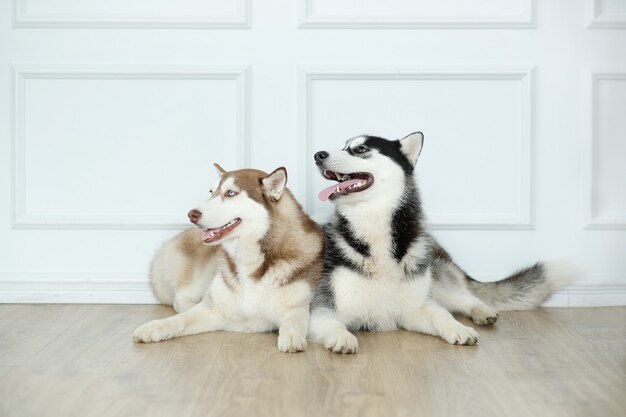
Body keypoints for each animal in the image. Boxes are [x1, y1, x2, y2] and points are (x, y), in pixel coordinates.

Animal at [135, 163, 324, 352]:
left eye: (231, 193)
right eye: (211, 192)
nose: (192, 214)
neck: (250, 259)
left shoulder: (297, 308)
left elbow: (293, 322)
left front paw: (292, 336)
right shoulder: (213, 309)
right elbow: (179, 320)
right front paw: (155, 326)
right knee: (181, 299)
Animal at [308, 132, 576, 352]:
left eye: (360, 149)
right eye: (341, 147)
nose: (318, 155)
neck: (374, 231)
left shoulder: (414, 308)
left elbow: (441, 315)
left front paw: (459, 328)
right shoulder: (321, 310)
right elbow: (332, 323)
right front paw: (342, 337)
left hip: (438, 281)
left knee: (464, 296)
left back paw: (481, 311)